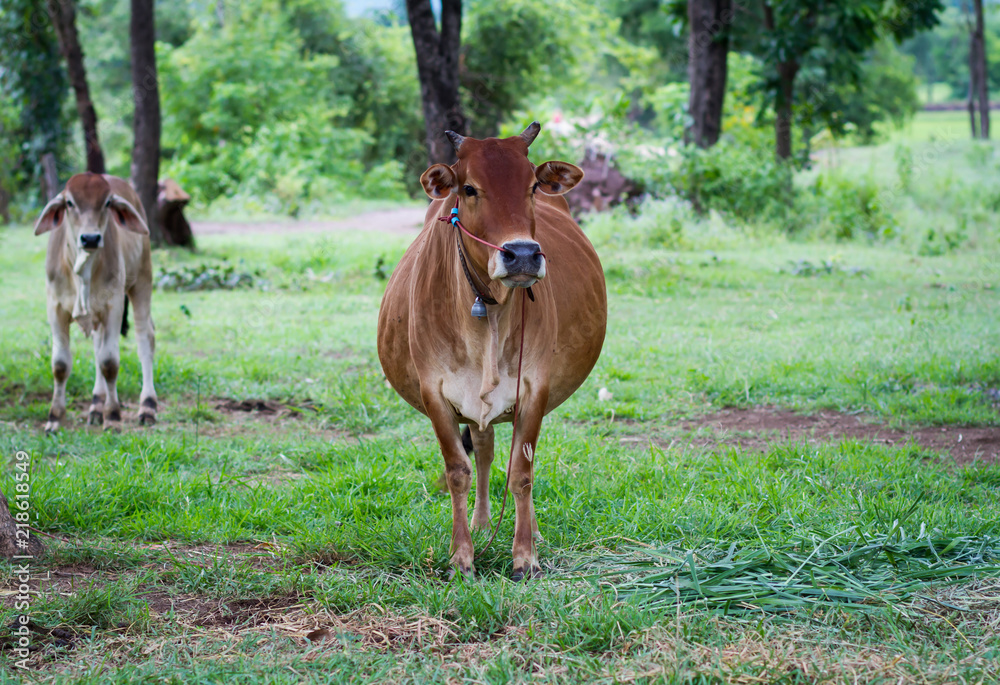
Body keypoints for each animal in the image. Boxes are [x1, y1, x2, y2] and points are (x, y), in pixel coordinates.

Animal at [33, 173, 158, 433]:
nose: (90, 238)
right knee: (97, 344)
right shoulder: (55, 308)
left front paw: (113, 416)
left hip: (142, 280)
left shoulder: (114, 306)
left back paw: (148, 406)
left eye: (107, 203)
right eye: (69, 203)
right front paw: (54, 418)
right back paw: (96, 405)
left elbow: (109, 362)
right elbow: (60, 364)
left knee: (145, 338)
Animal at [377, 123, 607, 579]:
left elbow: (521, 473)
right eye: (469, 188)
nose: (522, 254)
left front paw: (525, 556)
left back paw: (530, 531)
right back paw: (483, 524)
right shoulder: (435, 393)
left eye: (533, 186)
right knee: (483, 451)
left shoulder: (534, 389)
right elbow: (458, 472)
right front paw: (461, 557)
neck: (489, 311)